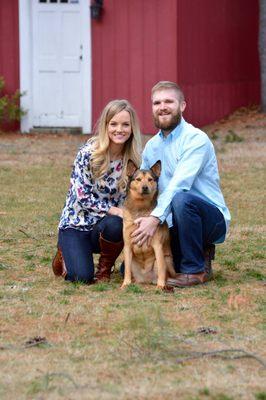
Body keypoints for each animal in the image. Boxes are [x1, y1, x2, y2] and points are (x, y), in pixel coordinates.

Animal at [121, 160, 177, 290]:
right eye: (138, 179)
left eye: (150, 179)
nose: (145, 187)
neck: (141, 208)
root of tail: (146, 279)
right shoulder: (127, 246)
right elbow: (126, 270)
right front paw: (125, 283)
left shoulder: (157, 246)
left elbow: (161, 269)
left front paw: (160, 286)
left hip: (165, 260)